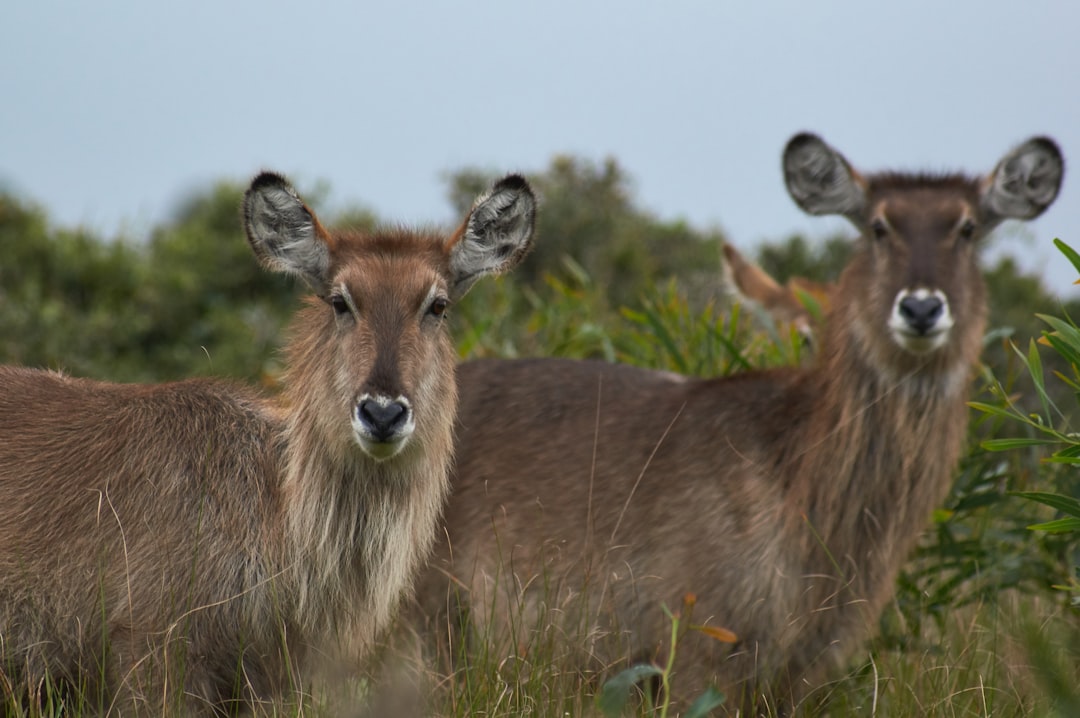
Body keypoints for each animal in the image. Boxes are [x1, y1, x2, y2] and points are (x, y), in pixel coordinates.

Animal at [414, 134, 1062, 712]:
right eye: (878, 227)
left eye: (969, 228)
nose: (922, 307)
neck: (794, 473)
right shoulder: (696, 651)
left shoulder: (798, 675)